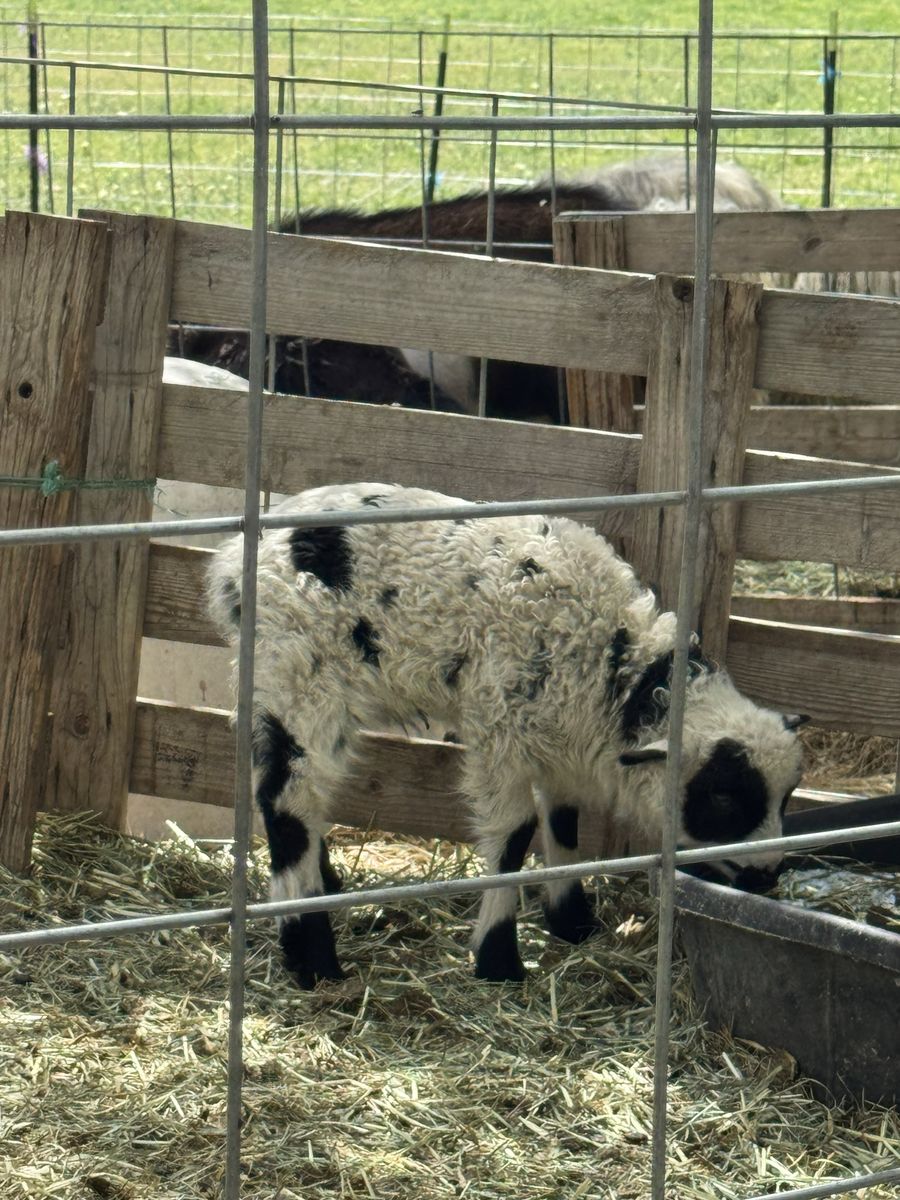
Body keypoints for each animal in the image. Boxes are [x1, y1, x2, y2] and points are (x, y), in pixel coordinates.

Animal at [208, 482, 808, 988]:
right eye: (724, 796)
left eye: (788, 796)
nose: (768, 875)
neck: (613, 664)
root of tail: (231, 567)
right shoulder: (501, 729)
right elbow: (515, 835)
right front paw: (499, 959)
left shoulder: (560, 733)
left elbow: (563, 823)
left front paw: (573, 923)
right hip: (298, 678)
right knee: (287, 806)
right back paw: (310, 955)